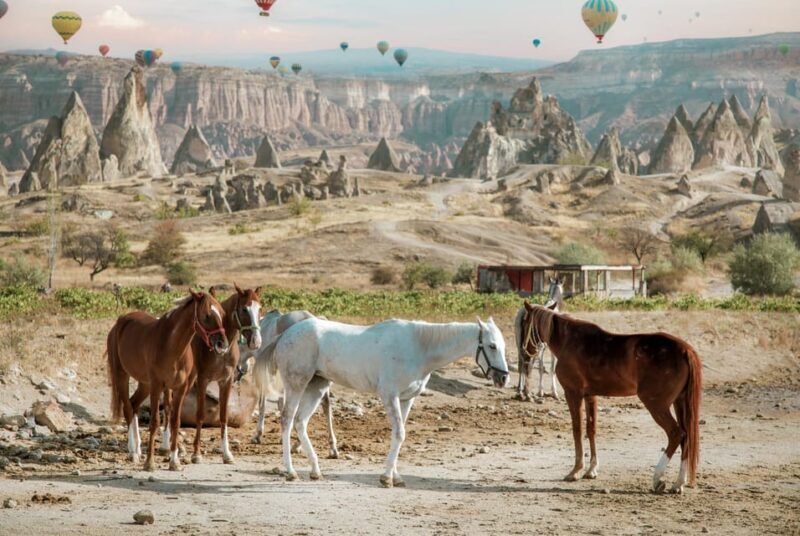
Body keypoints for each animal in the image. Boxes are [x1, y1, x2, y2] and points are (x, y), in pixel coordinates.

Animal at [106, 290, 229, 471]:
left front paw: (174, 461)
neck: (172, 347)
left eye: (222, 313)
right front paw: (149, 463)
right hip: (122, 376)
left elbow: (175, 422)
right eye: (206, 315)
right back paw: (133, 452)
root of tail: (119, 323)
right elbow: (155, 422)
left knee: (133, 404)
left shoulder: (180, 388)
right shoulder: (157, 386)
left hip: (144, 384)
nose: (223, 344)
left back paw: (137, 448)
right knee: (128, 408)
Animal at [189, 284, 262, 465]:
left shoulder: (226, 381)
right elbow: (200, 415)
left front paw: (227, 454)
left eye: (260, 309)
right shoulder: (202, 380)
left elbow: (224, 416)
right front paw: (196, 454)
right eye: (244, 309)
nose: (256, 341)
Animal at [269, 316, 509, 487]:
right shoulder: (389, 396)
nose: (504, 378)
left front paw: (396, 476)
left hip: (317, 387)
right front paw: (386, 478)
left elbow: (399, 435)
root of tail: (285, 334)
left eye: (503, 346)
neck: (419, 348)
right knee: (287, 420)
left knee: (300, 422)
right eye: (492, 346)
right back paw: (291, 472)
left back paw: (315, 471)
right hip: (297, 385)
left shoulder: (406, 399)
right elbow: (400, 433)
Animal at [521, 302, 701, 493]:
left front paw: (576, 471)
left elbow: (577, 430)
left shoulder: (573, 394)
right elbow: (591, 429)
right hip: (679, 403)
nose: (525, 352)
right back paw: (678, 483)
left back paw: (658, 478)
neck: (569, 340)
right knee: (686, 437)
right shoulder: (590, 396)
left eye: (524, 322)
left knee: (676, 434)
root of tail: (685, 350)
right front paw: (591, 469)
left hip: (657, 405)